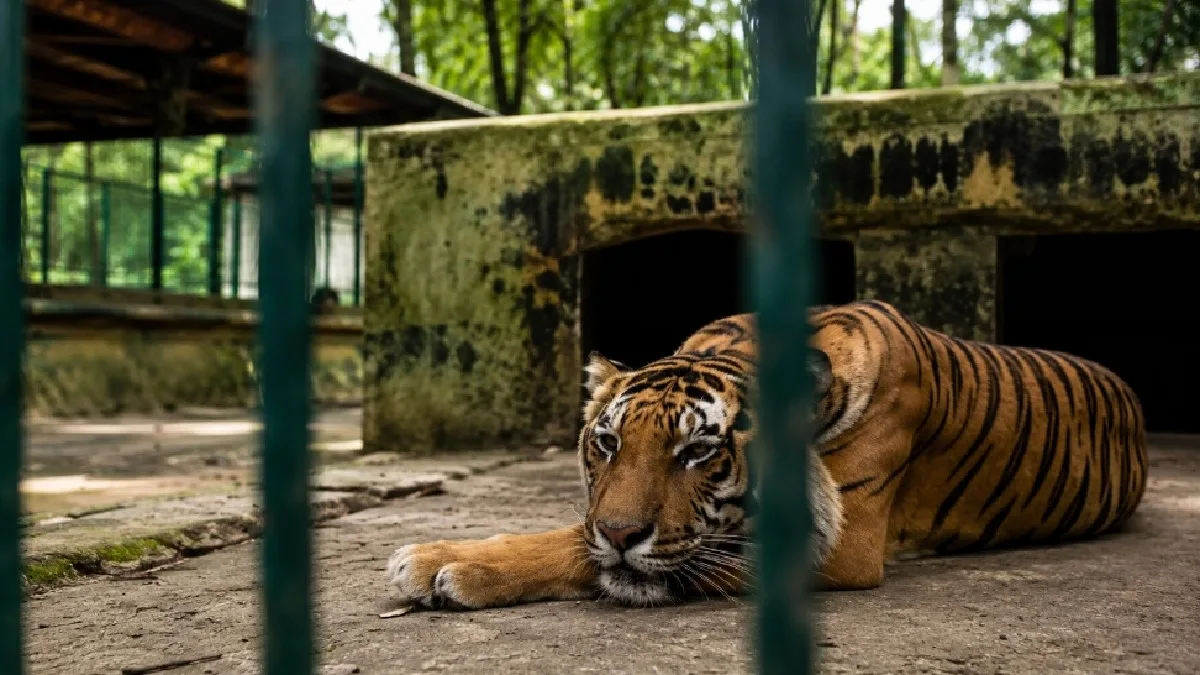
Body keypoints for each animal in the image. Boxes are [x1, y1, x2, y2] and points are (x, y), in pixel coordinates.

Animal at [386, 299, 1148, 609]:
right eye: (607, 443)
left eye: (698, 451)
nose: (625, 534)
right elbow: (578, 531)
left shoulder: (843, 541)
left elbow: (582, 546)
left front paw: (442, 565)